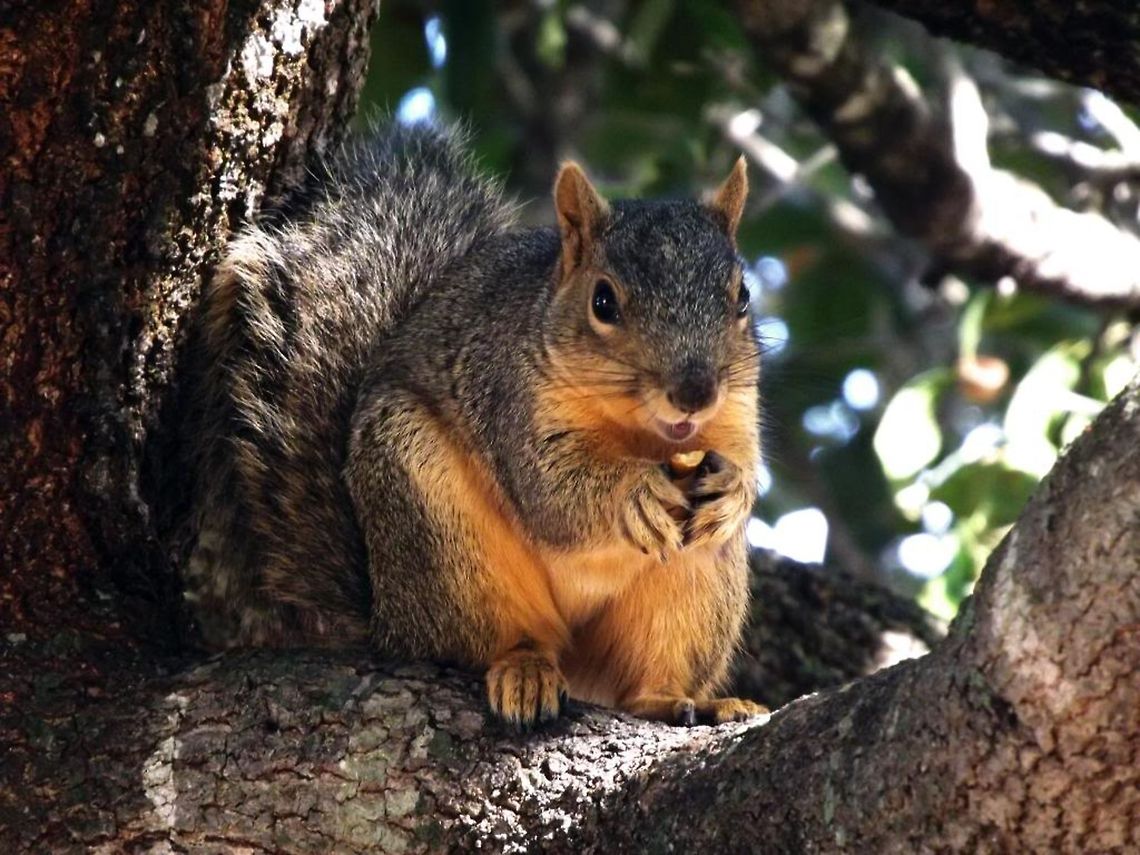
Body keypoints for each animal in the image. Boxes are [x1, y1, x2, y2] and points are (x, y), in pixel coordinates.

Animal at [188, 122, 767, 728]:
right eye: (603, 301)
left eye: (743, 296)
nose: (694, 394)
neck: (641, 433)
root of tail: (390, 620)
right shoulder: (507, 399)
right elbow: (552, 493)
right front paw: (634, 493)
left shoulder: (736, 411)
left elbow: (744, 464)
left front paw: (732, 489)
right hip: (437, 526)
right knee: (485, 640)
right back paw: (524, 671)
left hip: (697, 582)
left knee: (648, 674)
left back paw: (685, 700)